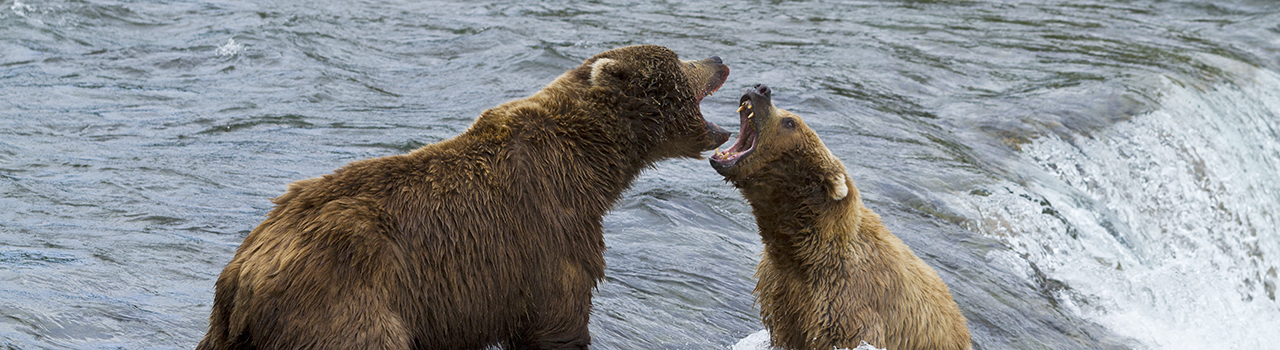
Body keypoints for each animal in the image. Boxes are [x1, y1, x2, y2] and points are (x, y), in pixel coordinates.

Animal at [197, 45, 732, 348]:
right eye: (678, 61)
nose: (719, 59)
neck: (593, 164)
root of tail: (241, 271)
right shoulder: (549, 232)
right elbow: (560, 318)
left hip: (228, 331)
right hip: (344, 297)